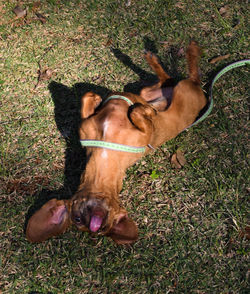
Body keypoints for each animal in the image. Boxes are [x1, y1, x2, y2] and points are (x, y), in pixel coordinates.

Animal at [25, 40, 207, 243]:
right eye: (77, 219)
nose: (94, 224)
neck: (106, 156)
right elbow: (130, 111)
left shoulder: (97, 124)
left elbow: (91, 98)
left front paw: (100, 99)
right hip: (168, 90)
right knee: (180, 78)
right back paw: (169, 57)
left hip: (169, 91)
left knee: (180, 77)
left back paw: (176, 54)